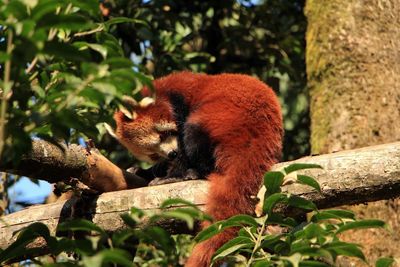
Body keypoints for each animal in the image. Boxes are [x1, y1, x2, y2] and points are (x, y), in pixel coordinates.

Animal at [108, 71, 282, 267]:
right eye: (152, 154)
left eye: (163, 134)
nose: (172, 153)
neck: (162, 90)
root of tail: (263, 130)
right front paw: (143, 171)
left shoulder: (181, 102)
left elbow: (183, 146)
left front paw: (172, 175)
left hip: (225, 118)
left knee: (194, 134)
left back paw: (191, 173)